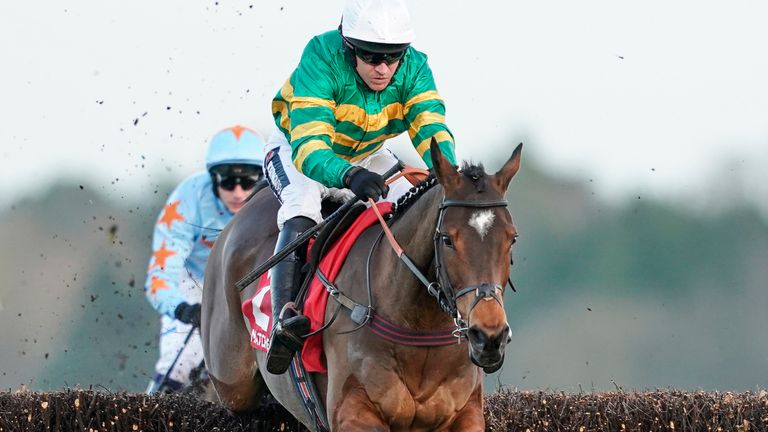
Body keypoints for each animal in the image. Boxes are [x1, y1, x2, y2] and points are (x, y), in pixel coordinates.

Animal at [201, 140, 520, 430]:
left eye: (511, 238)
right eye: (447, 239)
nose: (488, 336)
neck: (419, 326)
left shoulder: (465, 413)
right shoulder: (353, 411)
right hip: (233, 380)